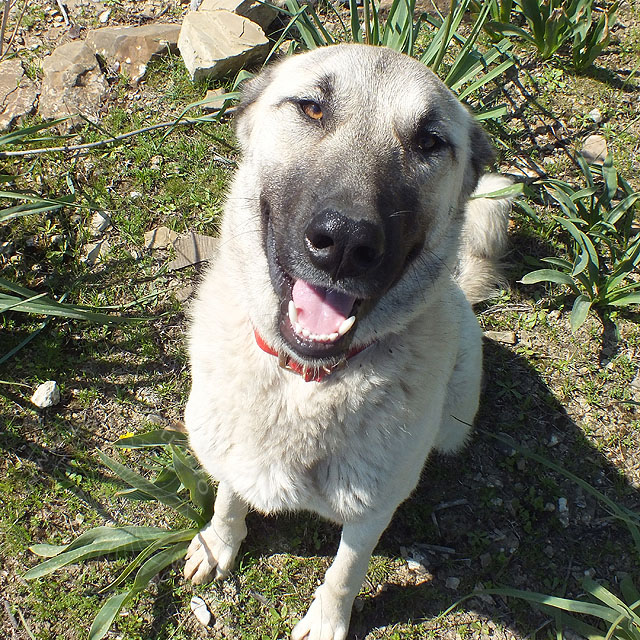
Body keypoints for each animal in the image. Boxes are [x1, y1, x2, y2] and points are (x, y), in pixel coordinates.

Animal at [182, 45, 512, 640]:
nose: (344, 244)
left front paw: (326, 620)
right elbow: (228, 500)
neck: (304, 381)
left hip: (454, 424)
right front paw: (219, 543)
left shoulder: (371, 512)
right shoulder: (232, 456)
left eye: (430, 141)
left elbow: (345, 572)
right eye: (311, 108)